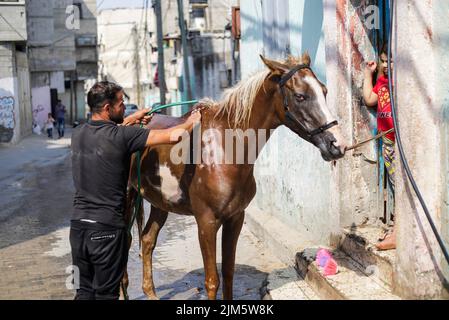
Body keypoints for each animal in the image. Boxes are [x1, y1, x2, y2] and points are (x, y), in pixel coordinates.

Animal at [122, 53, 346, 300]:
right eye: (300, 96)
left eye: (324, 91)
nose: (337, 144)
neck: (224, 150)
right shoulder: (206, 222)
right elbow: (212, 281)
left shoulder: (235, 218)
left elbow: (228, 273)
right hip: (126, 201)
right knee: (125, 244)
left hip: (161, 203)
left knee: (147, 240)